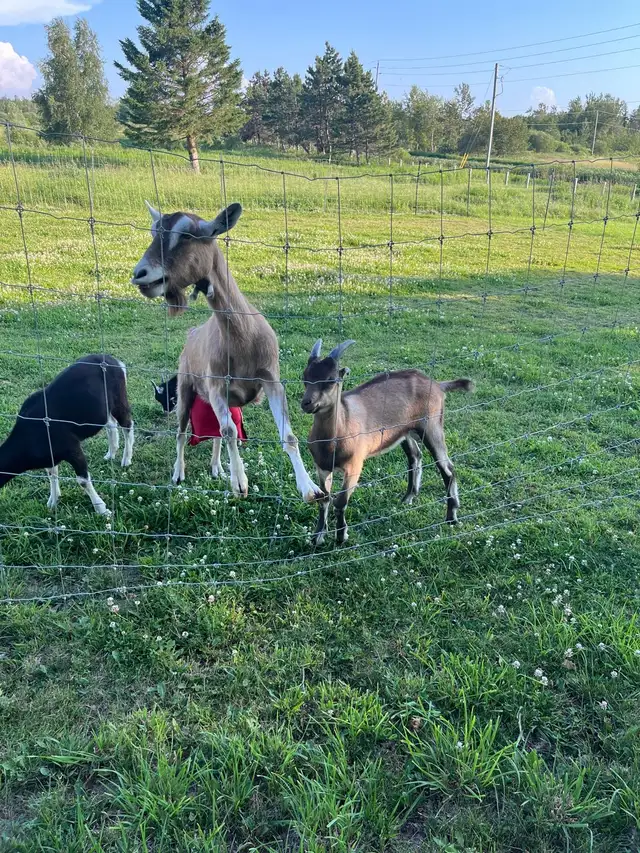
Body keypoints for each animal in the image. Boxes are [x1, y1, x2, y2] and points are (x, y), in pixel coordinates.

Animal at [0, 354, 134, 515]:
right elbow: (52, 474)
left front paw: (102, 510)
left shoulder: (71, 447)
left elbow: (82, 480)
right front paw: (53, 501)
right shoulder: (51, 455)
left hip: (119, 397)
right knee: (111, 423)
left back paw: (126, 459)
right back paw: (111, 453)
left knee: (127, 424)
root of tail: (115, 361)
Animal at [132, 202, 322, 502]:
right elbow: (230, 431)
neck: (243, 338)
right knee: (182, 432)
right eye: (153, 232)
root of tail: (191, 334)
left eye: (187, 235)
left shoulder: (271, 378)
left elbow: (287, 435)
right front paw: (240, 482)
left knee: (217, 432)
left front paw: (309, 487)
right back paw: (179, 473)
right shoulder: (217, 384)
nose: (140, 274)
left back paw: (217, 468)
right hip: (185, 387)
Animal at [301, 340, 473, 545]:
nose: (306, 403)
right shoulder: (322, 467)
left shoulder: (354, 466)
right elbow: (324, 498)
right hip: (405, 432)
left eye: (331, 380)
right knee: (415, 456)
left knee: (447, 468)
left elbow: (340, 501)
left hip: (432, 426)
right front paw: (317, 536)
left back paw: (451, 516)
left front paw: (341, 536)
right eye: (304, 377)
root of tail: (438, 385)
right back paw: (408, 497)